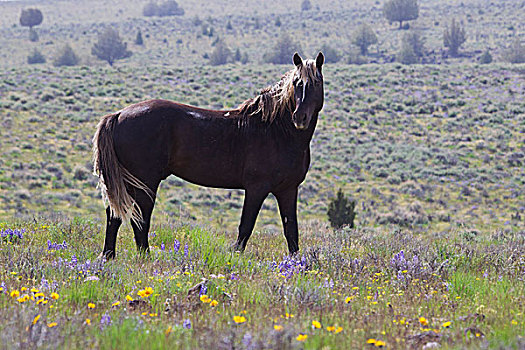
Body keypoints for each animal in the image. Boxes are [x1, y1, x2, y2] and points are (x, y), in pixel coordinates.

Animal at [93, 52, 324, 260]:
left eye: (316, 83)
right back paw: (143, 257)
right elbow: (246, 226)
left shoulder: (288, 190)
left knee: (115, 215)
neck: (275, 130)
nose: (300, 117)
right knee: (139, 219)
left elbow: (291, 230)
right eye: (296, 83)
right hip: (145, 182)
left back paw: (109, 256)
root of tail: (118, 115)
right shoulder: (256, 188)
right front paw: (235, 258)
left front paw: (296, 264)